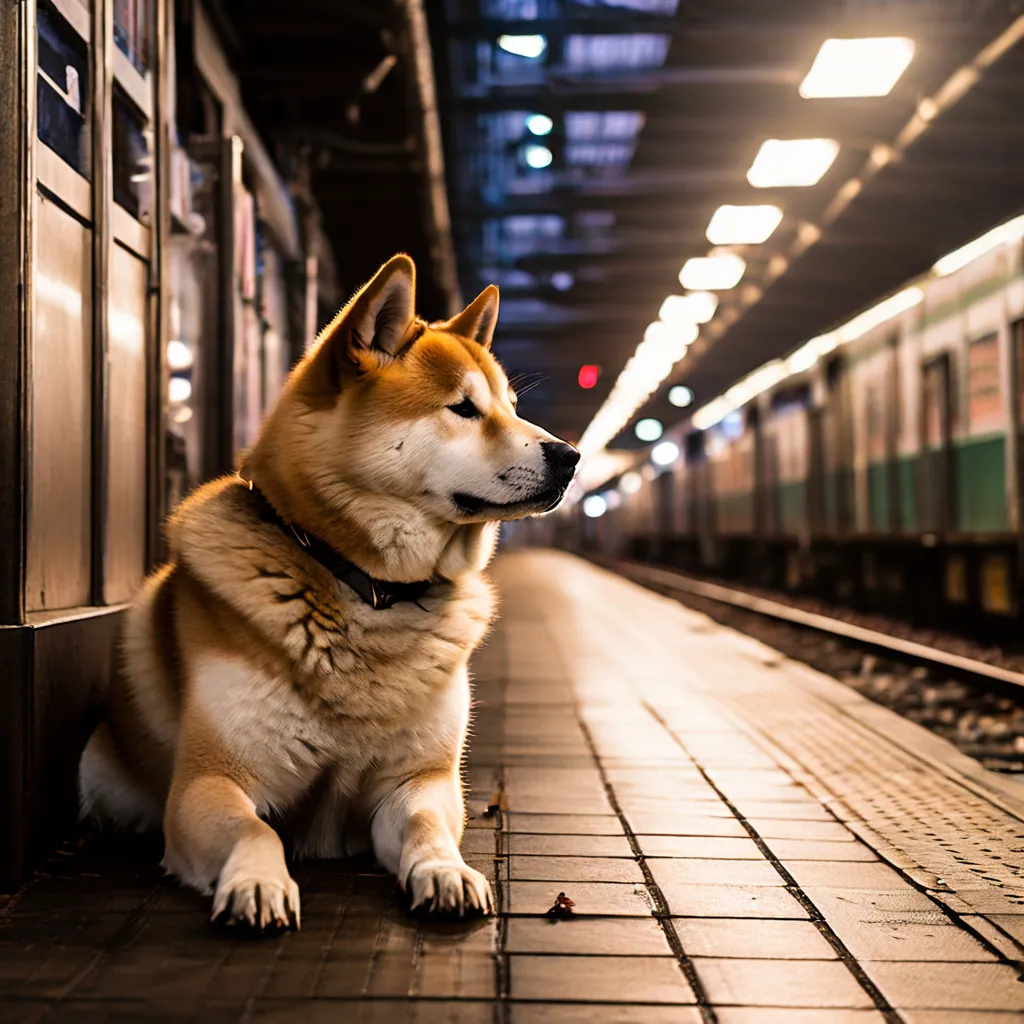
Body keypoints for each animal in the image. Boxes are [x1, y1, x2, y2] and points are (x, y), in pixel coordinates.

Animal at [77, 253, 577, 929]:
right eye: (464, 409)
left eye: (511, 405)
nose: (570, 455)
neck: (364, 586)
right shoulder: (208, 781)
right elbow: (256, 830)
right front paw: (257, 882)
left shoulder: (421, 780)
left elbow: (426, 829)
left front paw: (446, 871)